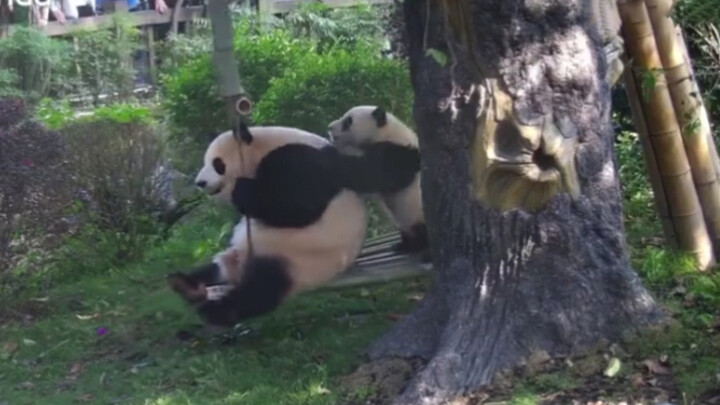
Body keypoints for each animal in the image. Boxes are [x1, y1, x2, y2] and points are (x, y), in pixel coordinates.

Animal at [167, 124, 368, 326]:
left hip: (300, 259)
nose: (200, 182)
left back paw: (218, 312)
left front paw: (241, 190)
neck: (262, 147)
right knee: (213, 270)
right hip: (239, 253)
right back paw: (185, 285)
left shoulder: (300, 159)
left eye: (217, 164)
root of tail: (241, 268)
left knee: (261, 289)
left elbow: (299, 207)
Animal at [326, 105, 428, 260]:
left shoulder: (397, 155)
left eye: (348, 121)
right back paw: (404, 246)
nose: (330, 127)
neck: (388, 132)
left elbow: (368, 175)